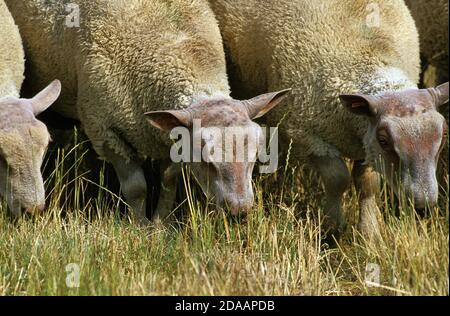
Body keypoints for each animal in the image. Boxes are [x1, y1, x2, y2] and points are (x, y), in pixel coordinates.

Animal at [210, 0, 450, 238]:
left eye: (442, 139)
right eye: (384, 141)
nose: (423, 207)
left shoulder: (366, 142)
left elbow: (368, 184)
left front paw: (369, 233)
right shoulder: (307, 136)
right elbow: (337, 180)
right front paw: (332, 229)